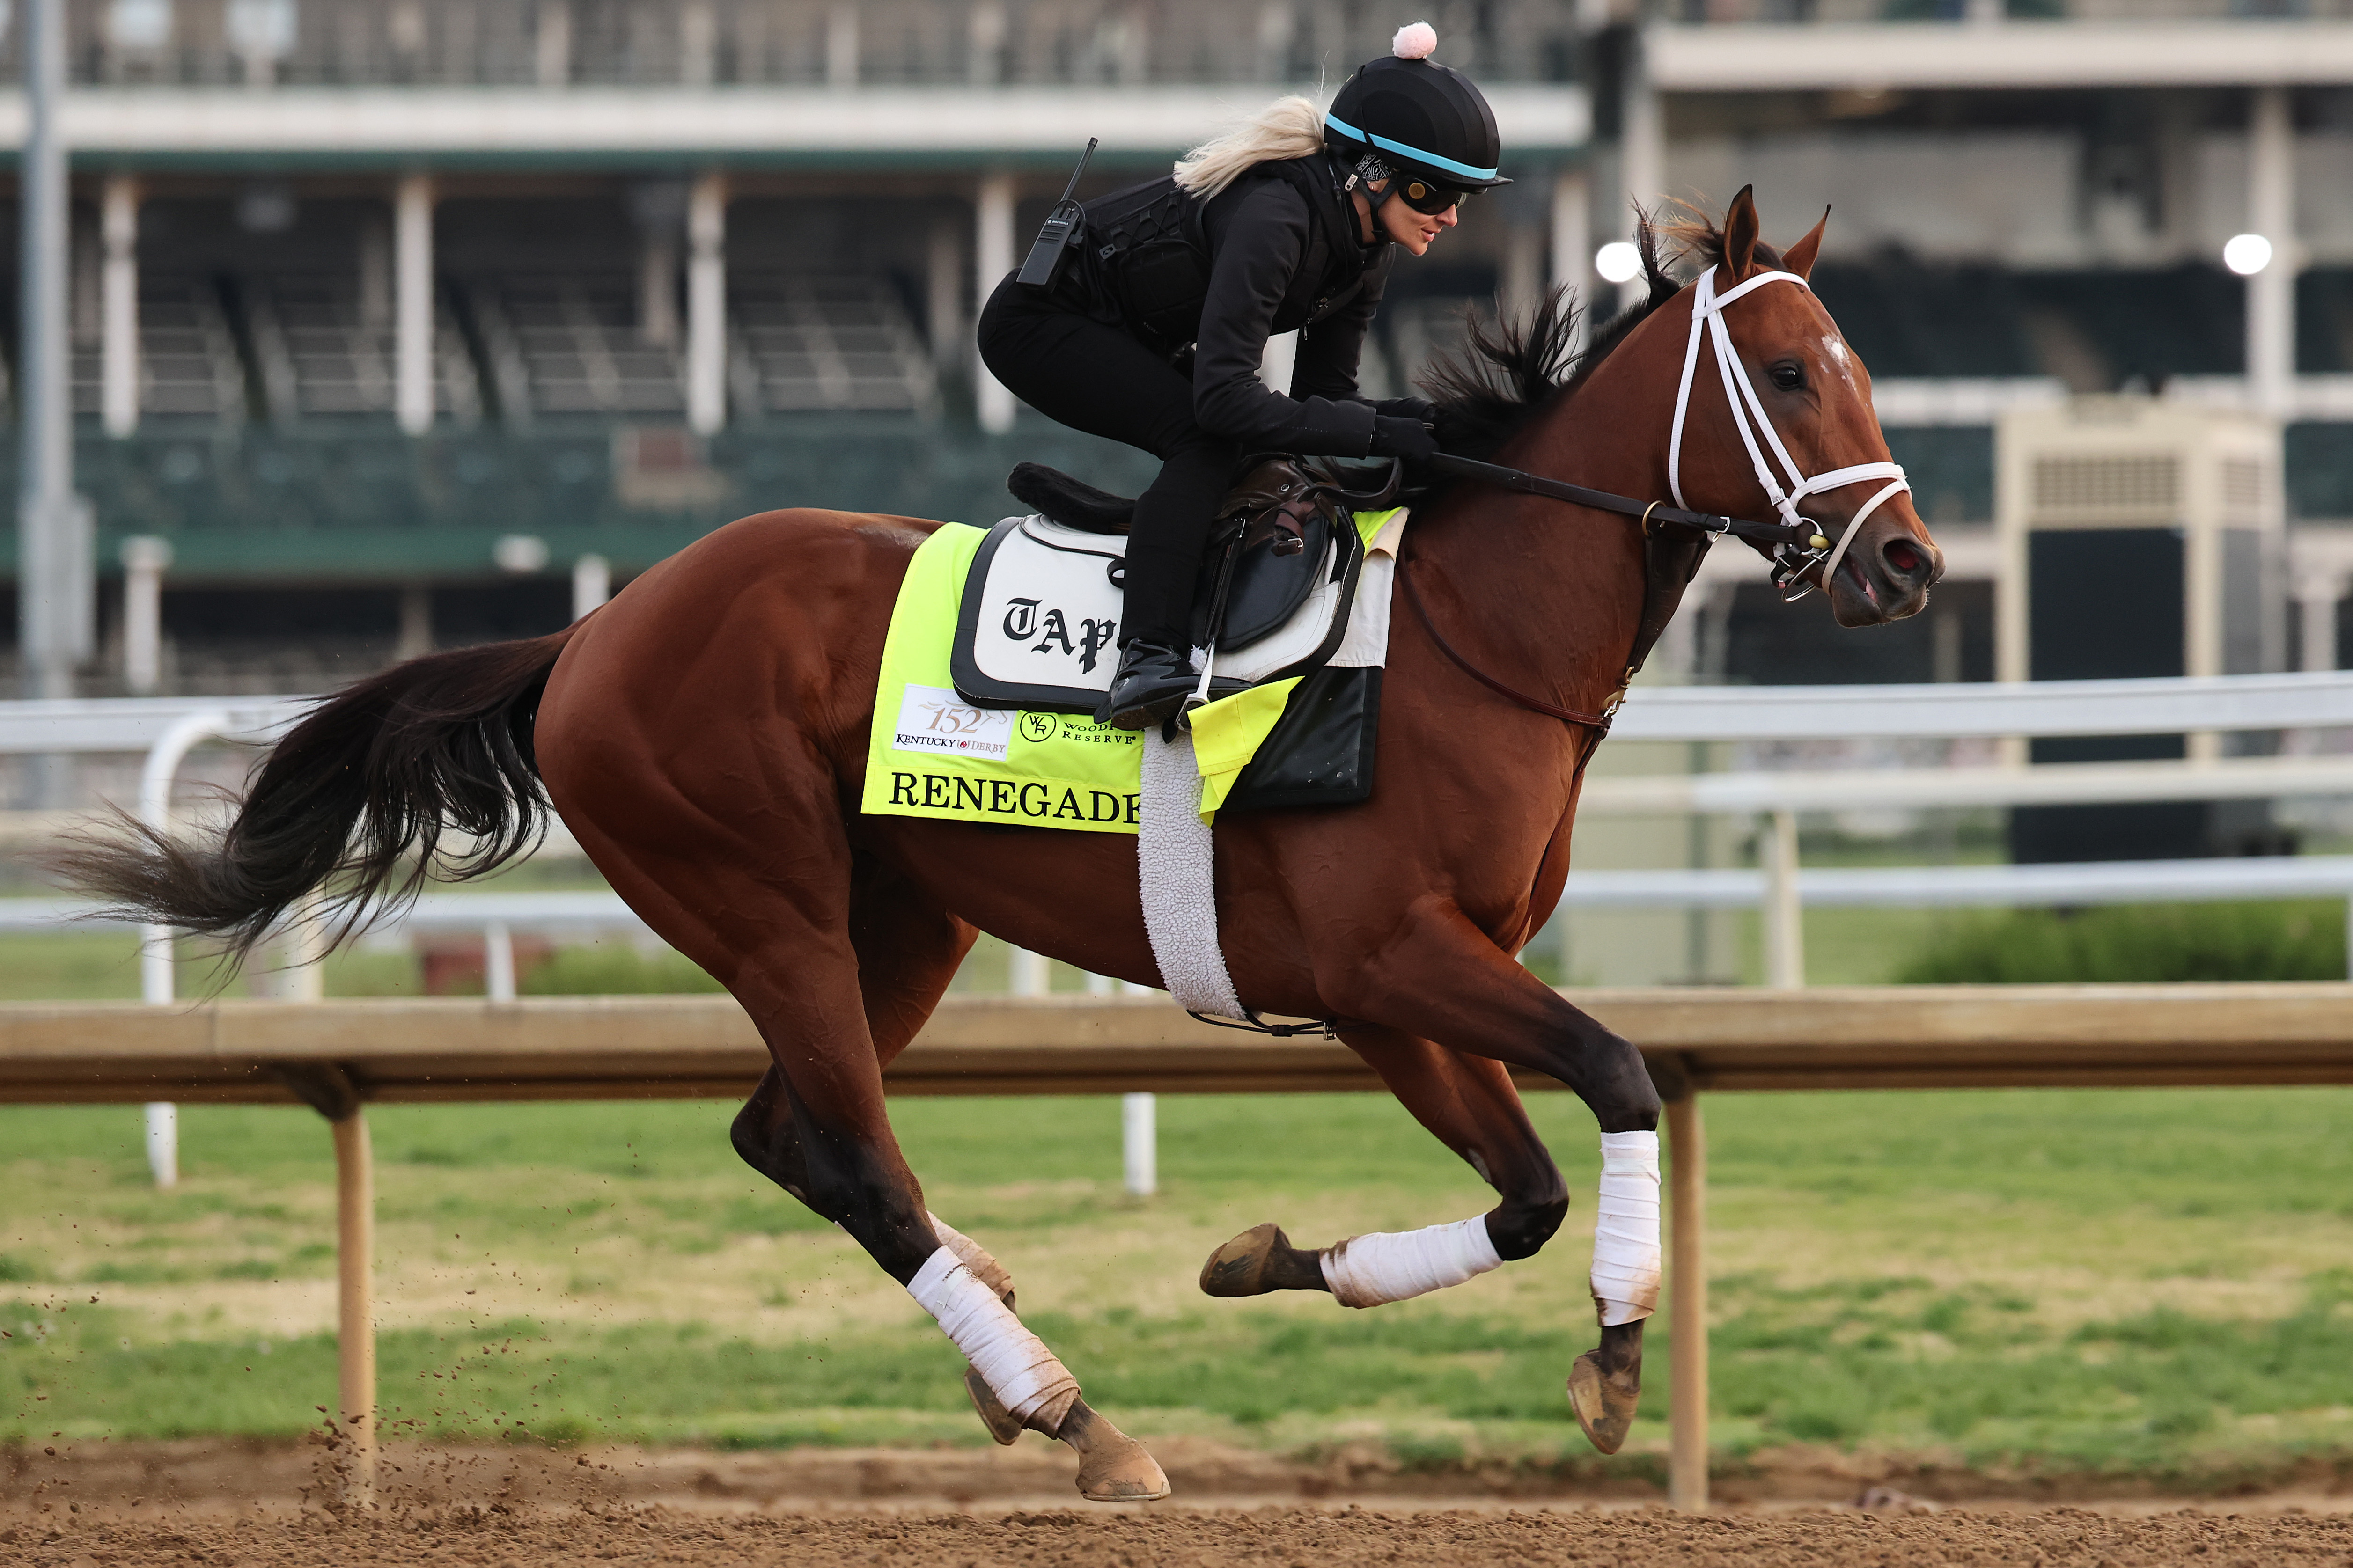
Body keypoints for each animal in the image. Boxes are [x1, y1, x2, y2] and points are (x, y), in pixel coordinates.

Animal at [65, 189, 1942, 1501]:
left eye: (1860, 367)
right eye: (1789, 372)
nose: (1905, 565)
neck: (1461, 639)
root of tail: (591, 631)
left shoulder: (1386, 994)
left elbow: (1528, 1192)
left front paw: (1271, 1258)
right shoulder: (1391, 956)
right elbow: (1618, 1077)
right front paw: (1617, 1356)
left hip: (902, 919)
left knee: (788, 1136)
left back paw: (999, 1345)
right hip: (763, 901)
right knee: (853, 1156)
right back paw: (1063, 1405)